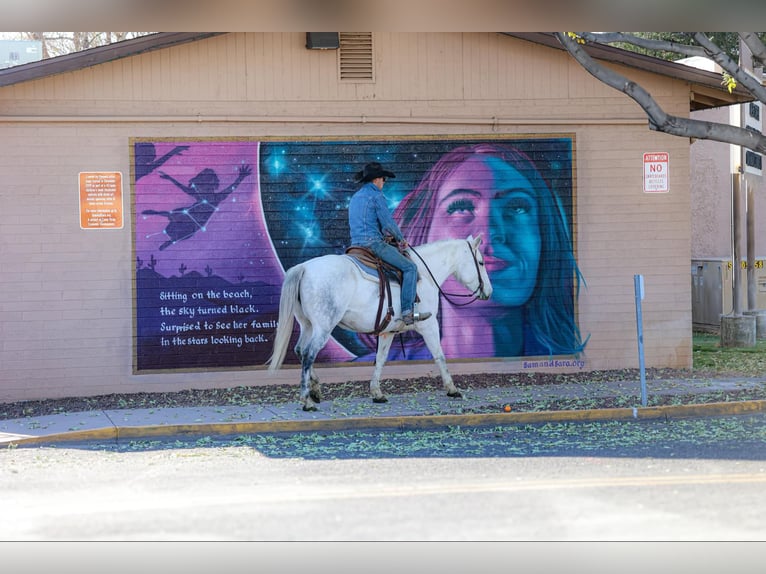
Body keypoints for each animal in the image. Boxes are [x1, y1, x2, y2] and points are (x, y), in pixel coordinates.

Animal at [268, 236, 492, 412]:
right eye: (480, 263)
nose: (488, 291)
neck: (425, 275)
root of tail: (304, 268)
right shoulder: (429, 326)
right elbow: (439, 355)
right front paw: (452, 389)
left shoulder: (388, 332)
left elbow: (381, 360)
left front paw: (377, 393)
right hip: (323, 327)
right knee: (308, 354)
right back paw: (306, 400)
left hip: (308, 325)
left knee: (300, 350)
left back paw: (315, 390)